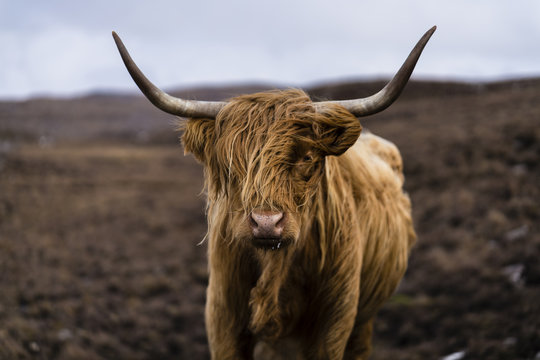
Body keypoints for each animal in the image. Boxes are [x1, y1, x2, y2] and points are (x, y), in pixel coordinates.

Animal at [113, 26, 434, 358]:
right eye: (231, 162)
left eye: (307, 157)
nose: (266, 223)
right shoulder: (222, 317)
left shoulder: (335, 322)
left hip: (363, 321)